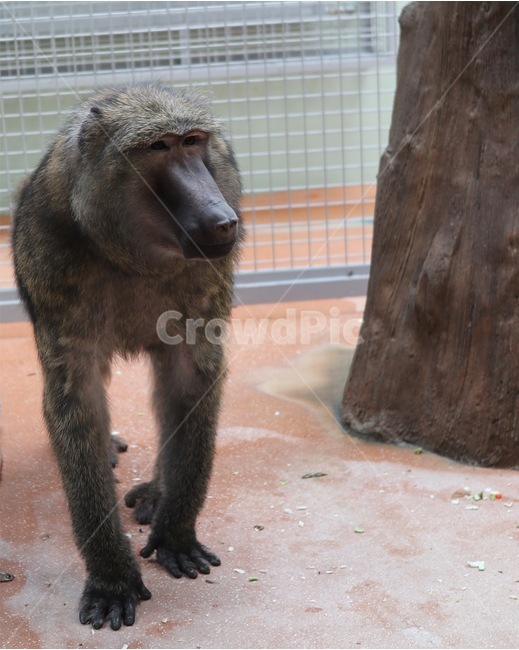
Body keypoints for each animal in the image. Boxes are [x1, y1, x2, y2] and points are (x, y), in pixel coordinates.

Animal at [11, 83, 243, 630]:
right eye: (158, 148)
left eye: (193, 141)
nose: (223, 221)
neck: (134, 255)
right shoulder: (49, 255)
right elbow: (77, 399)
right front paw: (111, 576)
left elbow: (191, 379)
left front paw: (177, 532)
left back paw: (158, 493)